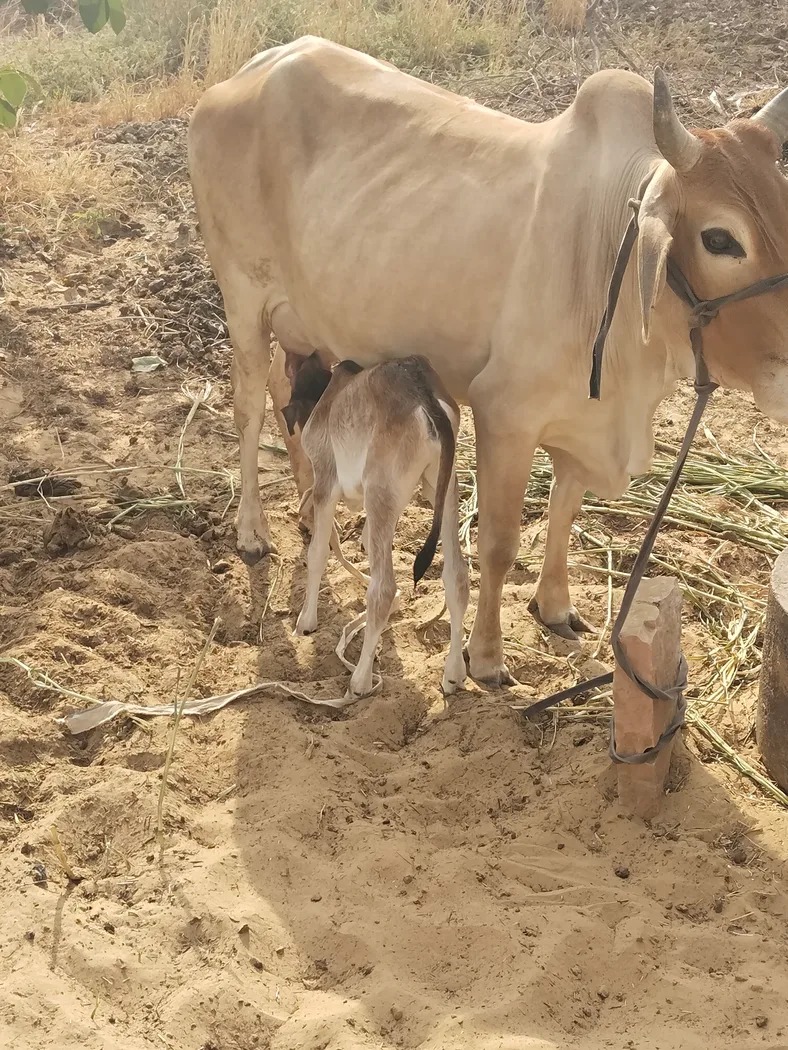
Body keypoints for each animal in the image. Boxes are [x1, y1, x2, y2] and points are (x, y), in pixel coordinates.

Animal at [282, 352, 468, 700]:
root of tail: (424, 395)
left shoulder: (326, 483)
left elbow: (317, 555)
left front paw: (306, 621)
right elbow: (366, 544)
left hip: (381, 491)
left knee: (383, 589)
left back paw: (360, 680)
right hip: (445, 487)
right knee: (457, 578)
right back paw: (453, 674)